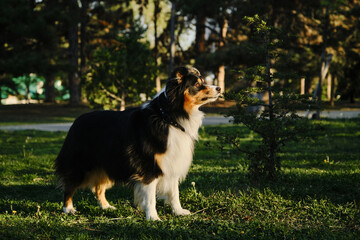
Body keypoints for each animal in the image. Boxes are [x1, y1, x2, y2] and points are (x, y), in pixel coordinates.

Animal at [54, 66, 221, 220]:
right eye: (197, 84)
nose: (219, 88)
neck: (169, 117)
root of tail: (76, 121)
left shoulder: (171, 161)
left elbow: (174, 192)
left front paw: (178, 211)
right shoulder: (148, 166)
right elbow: (151, 197)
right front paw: (153, 217)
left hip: (106, 166)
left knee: (98, 188)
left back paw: (106, 207)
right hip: (80, 165)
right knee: (69, 186)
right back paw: (68, 209)